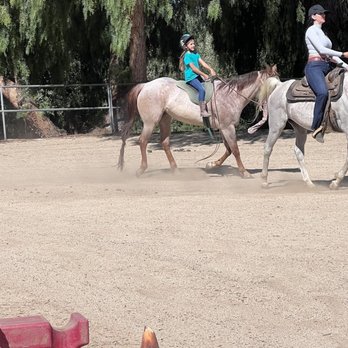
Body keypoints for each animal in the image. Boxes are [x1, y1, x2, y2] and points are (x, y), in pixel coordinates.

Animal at [118, 64, 278, 177]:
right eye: (272, 84)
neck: (231, 95)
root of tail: (145, 85)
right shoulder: (228, 127)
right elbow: (235, 150)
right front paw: (244, 172)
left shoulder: (224, 128)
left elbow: (228, 150)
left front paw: (212, 164)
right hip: (150, 122)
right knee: (143, 141)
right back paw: (141, 169)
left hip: (165, 119)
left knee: (165, 143)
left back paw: (175, 170)